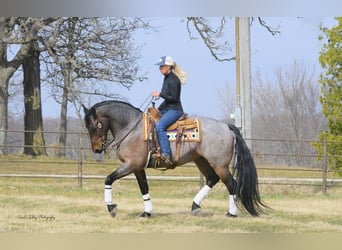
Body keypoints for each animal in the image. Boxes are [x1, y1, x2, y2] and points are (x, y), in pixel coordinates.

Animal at [83, 99, 268, 217]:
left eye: (94, 126)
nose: (97, 149)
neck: (132, 128)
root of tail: (227, 126)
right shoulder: (138, 168)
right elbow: (144, 188)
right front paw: (147, 212)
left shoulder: (131, 165)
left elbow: (108, 179)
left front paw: (111, 208)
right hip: (201, 161)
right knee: (212, 179)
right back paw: (195, 207)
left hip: (219, 165)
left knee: (232, 184)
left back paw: (231, 213)